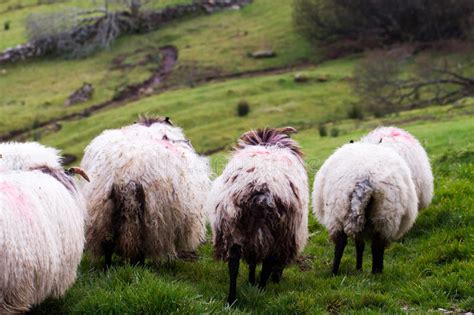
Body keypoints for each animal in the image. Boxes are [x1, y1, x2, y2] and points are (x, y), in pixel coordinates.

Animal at [80, 116, 210, 270]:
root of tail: (128, 174)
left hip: (103, 215)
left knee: (108, 244)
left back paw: (108, 269)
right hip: (151, 217)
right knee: (140, 247)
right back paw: (140, 267)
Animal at [209, 127, 310, 304]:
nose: (277, 280)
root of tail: (262, 186)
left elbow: (251, 262)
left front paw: (251, 281)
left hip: (233, 226)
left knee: (234, 262)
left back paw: (232, 300)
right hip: (280, 232)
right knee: (268, 263)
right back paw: (261, 289)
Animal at [312, 142, 416, 276]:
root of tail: (365, 178)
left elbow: (359, 245)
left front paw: (358, 268)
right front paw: (361, 268)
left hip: (337, 213)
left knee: (341, 243)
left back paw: (334, 272)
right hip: (385, 217)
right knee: (377, 246)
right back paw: (376, 272)